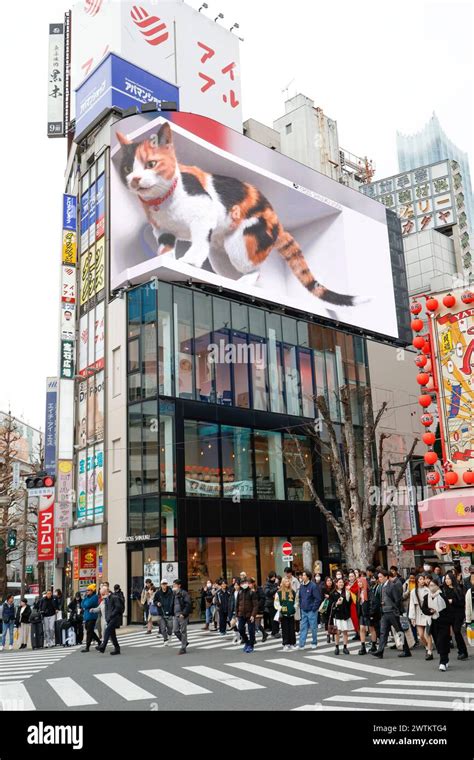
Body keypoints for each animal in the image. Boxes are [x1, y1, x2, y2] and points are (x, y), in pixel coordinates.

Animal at [116, 121, 362, 306]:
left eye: (151, 164)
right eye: (127, 169)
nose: (135, 179)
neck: (162, 201)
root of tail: (278, 223)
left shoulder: (204, 213)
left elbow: (198, 241)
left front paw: (189, 261)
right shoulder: (163, 231)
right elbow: (166, 248)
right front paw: (166, 261)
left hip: (242, 241)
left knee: (256, 269)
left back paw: (245, 282)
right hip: (220, 254)